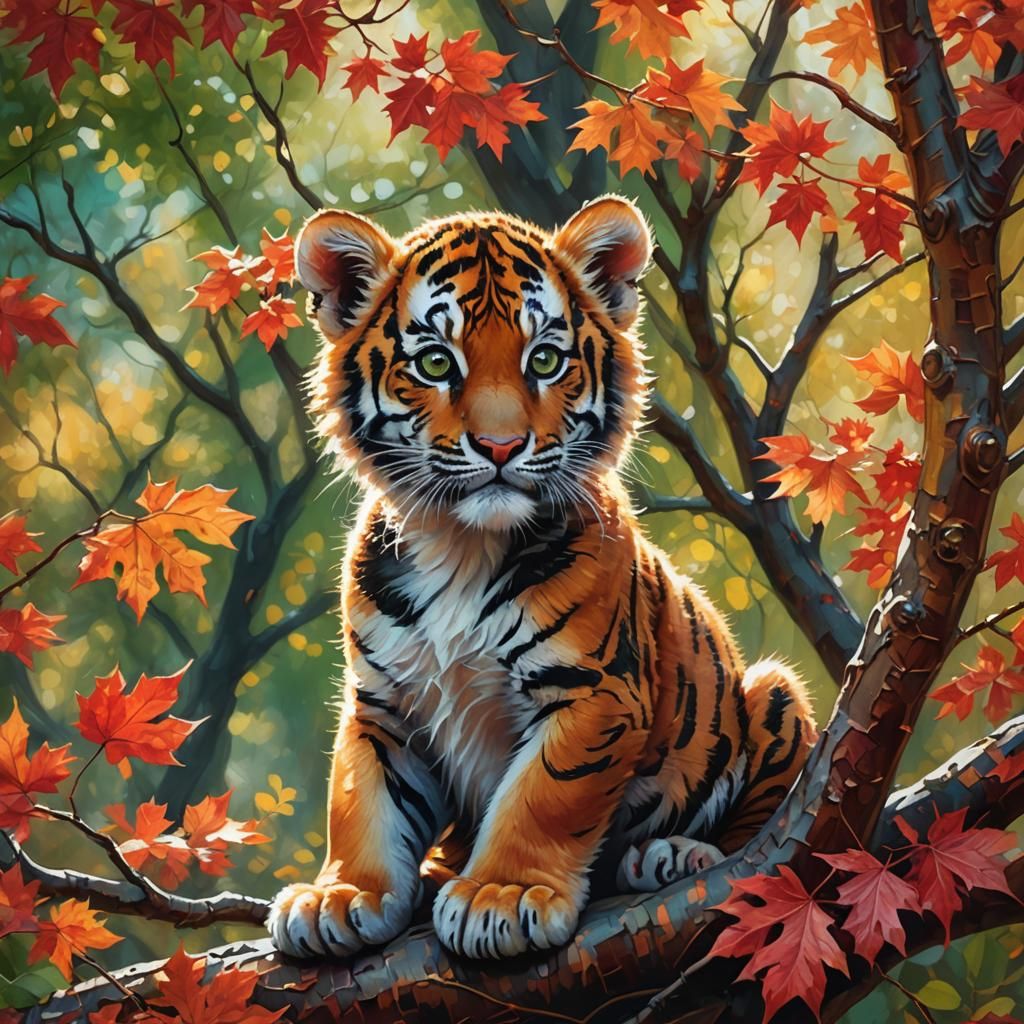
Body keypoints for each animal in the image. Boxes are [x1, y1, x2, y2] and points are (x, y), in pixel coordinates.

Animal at [267, 195, 816, 961]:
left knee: (750, 828)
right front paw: (342, 896)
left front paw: (503, 894)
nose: (500, 447)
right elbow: (361, 797)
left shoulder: (591, 693)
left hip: (774, 691)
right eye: (436, 362)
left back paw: (675, 854)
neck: (461, 545)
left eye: (546, 360)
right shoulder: (383, 703)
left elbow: (543, 796)